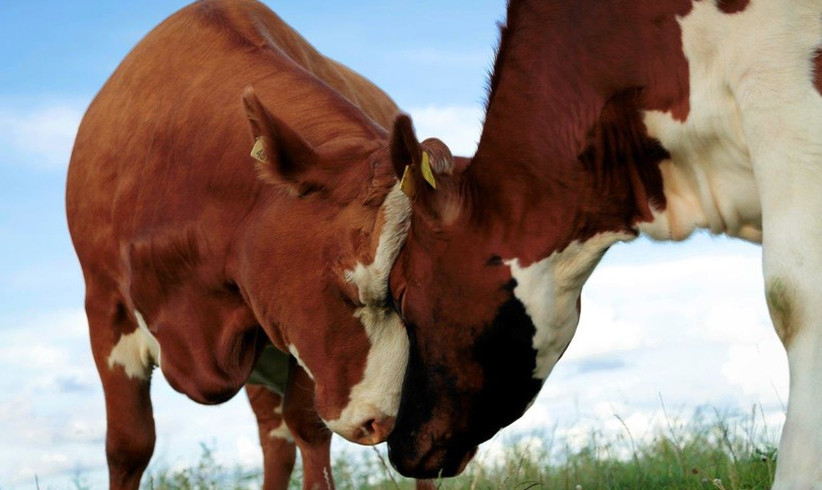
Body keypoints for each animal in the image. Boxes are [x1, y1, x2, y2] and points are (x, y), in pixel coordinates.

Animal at [68, 1, 448, 488]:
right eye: (350, 286)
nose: (383, 421)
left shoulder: (296, 334)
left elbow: (309, 431)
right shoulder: (104, 307)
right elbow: (128, 446)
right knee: (275, 440)